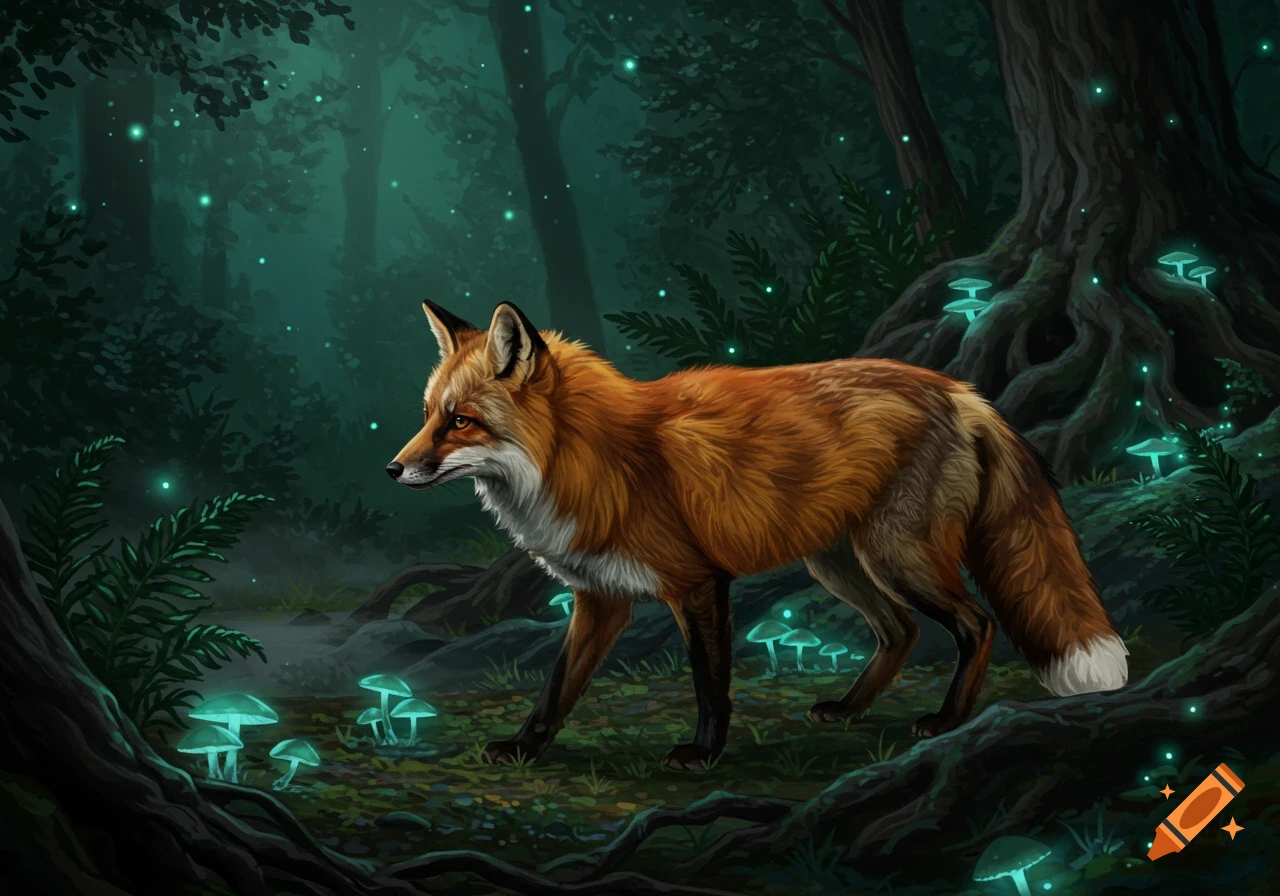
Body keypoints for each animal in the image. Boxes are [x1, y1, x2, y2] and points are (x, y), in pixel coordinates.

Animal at [387, 300, 1129, 770]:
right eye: (426, 415)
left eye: (460, 421)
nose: (394, 468)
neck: (590, 457)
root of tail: (961, 389)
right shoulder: (602, 598)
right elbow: (556, 686)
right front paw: (524, 748)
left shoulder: (697, 583)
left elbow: (710, 682)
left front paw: (704, 754)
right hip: (840, 564)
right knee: (900, 631)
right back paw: (850, 709)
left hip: (898, 558)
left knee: (976, 624)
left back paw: (946, 721)